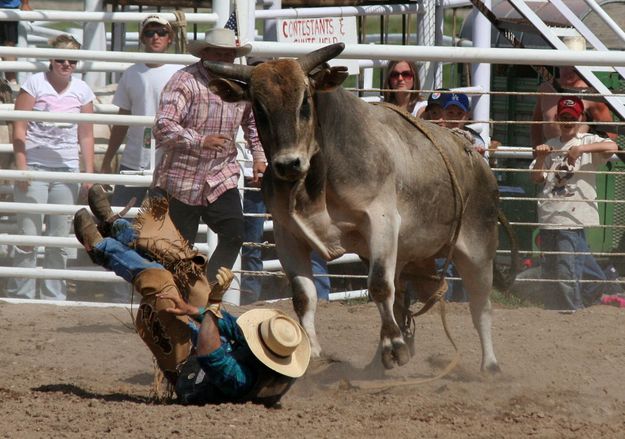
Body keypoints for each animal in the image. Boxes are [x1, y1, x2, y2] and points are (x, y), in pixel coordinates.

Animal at [205, 43, 516, 372]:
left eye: (305, 103)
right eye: (260, 109)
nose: (288, 164)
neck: (317, 178)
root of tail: (478, 160)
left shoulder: (382, 221)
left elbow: (379, 286)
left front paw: (395, 348)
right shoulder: (286, 233)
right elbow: (304, 296)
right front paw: (309, 351)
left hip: (478, 250)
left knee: (480, 305)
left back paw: (489, 365)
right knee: (403, 296)